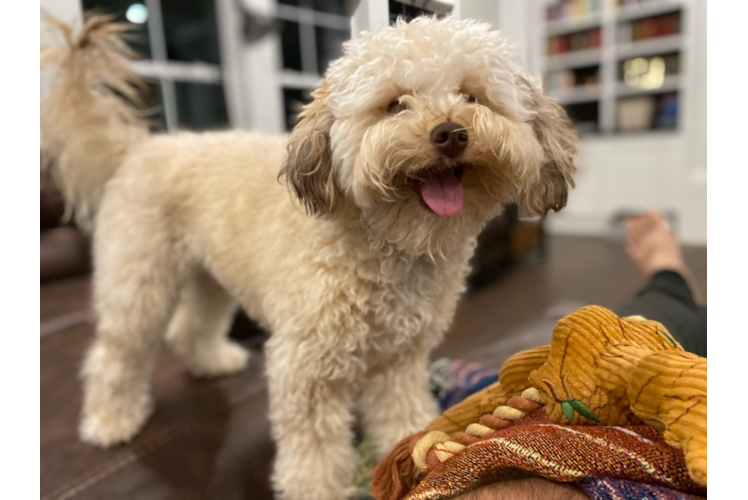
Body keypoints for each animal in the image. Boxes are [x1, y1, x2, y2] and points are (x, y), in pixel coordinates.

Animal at [41, 13, 580, 498]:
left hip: (210, 276)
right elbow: (314, 454)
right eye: (395, 105)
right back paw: (111, 419)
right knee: (115, 354)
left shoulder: (401, 361)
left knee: (191, 324)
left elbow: (404, 417)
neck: (387, 245)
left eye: (472, 96)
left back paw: (212, 361)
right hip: (138, 280)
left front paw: (412, 461)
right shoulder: (306, 369)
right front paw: (321, 487)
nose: (450, 132)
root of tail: (137, 151)